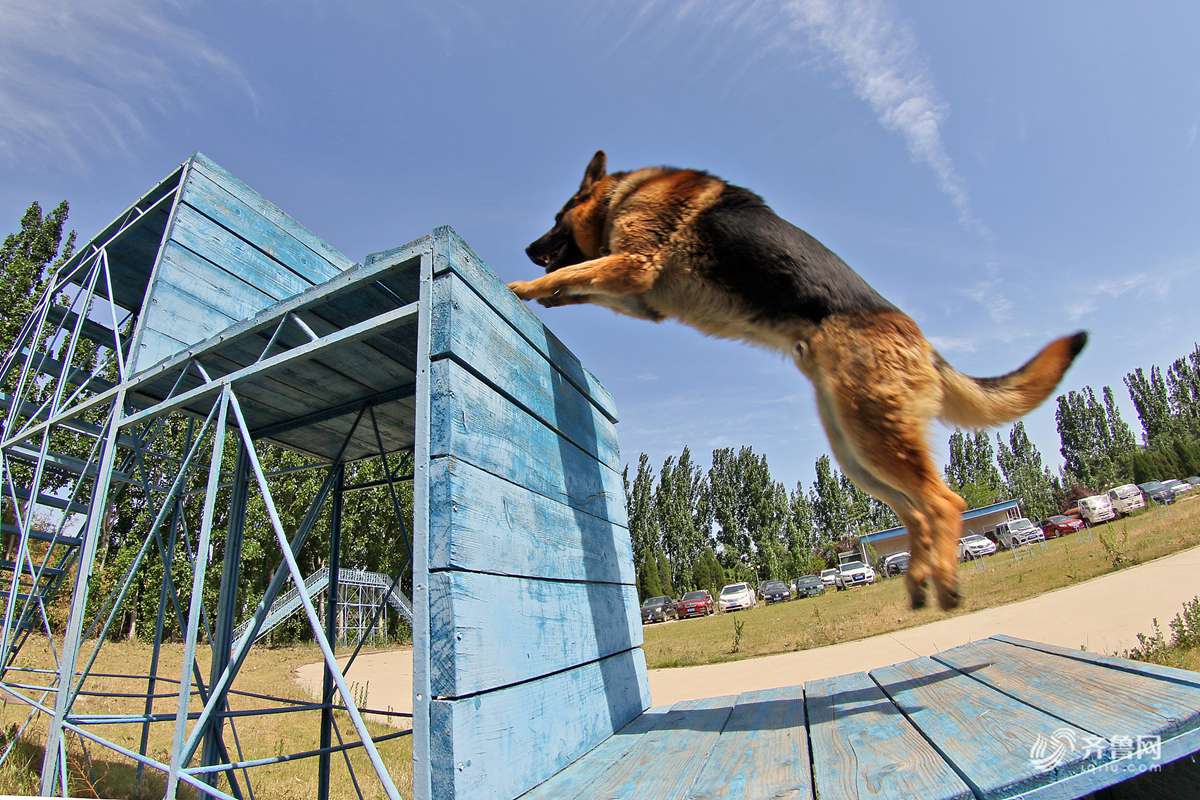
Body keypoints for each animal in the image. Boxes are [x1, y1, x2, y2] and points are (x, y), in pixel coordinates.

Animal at [508, 153, 1089, 609]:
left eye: (557, 218)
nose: (528, 248)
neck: (619, 196)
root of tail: (925, 345)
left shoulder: (634, 265)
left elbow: (573, 273)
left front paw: (522, 286)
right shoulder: (636, 291)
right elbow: (579, 284)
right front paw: (545, 293)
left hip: (874, 437)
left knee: (945, 502)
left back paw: (943, 581)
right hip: (857, 454)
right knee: (917, 512)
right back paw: (919, 578)